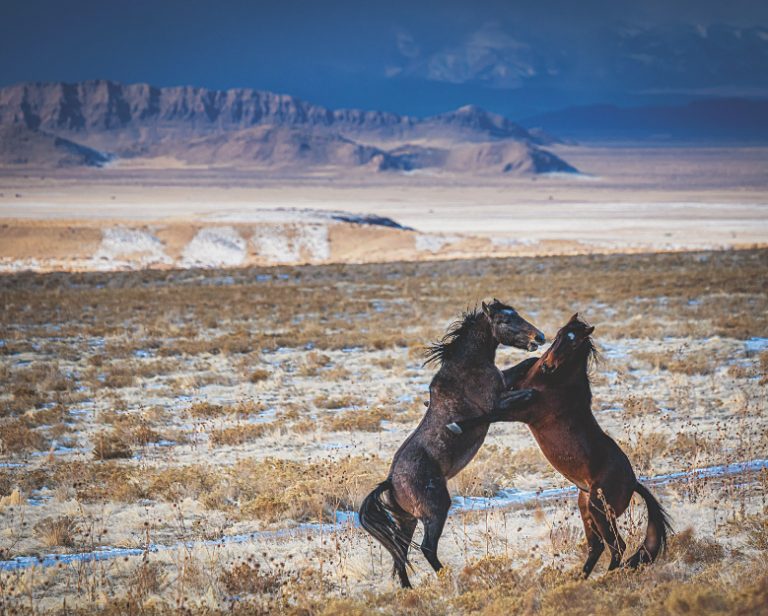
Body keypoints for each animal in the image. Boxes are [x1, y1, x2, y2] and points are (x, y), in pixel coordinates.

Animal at [359, 299, 546, 588]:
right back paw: (451, 579)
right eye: (504, 320)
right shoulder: (495, 403)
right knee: (426, 548)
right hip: (435, 512)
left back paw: (409, 590)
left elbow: (528, 363)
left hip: (407, 520)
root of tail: (390, 482)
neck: (467, 367)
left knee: (400, 552)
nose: (539, 337)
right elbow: (521, 397)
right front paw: (457, 426)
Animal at [447, 314, 672, 577]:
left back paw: (605, 578)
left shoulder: (520, 411)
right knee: (596, 547)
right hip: (586, 509)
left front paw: (455, 425)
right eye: (560, 335)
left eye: (575, 343)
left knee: (617, 546)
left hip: (600, 510)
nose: (548, 365)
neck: (554, 383)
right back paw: (580, 579)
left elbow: (488, 415)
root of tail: (633, 482)